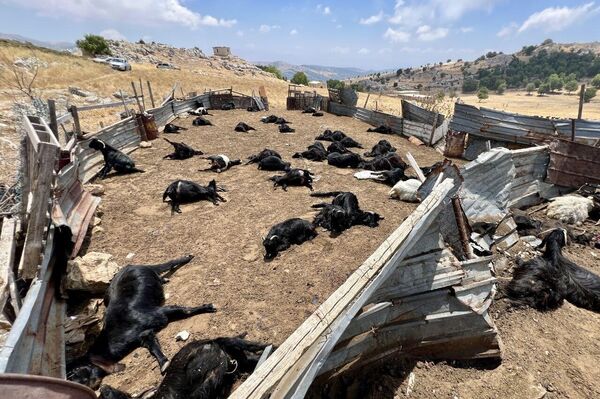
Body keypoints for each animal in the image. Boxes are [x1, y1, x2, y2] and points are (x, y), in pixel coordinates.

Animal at [66, 256, 216, 390]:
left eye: (72, 373)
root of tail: (131, 265)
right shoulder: (144, 335)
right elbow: (152, 346)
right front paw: (164, 363)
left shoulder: (158, 313)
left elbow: (186, 310)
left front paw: (208, 307)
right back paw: (165, 279)